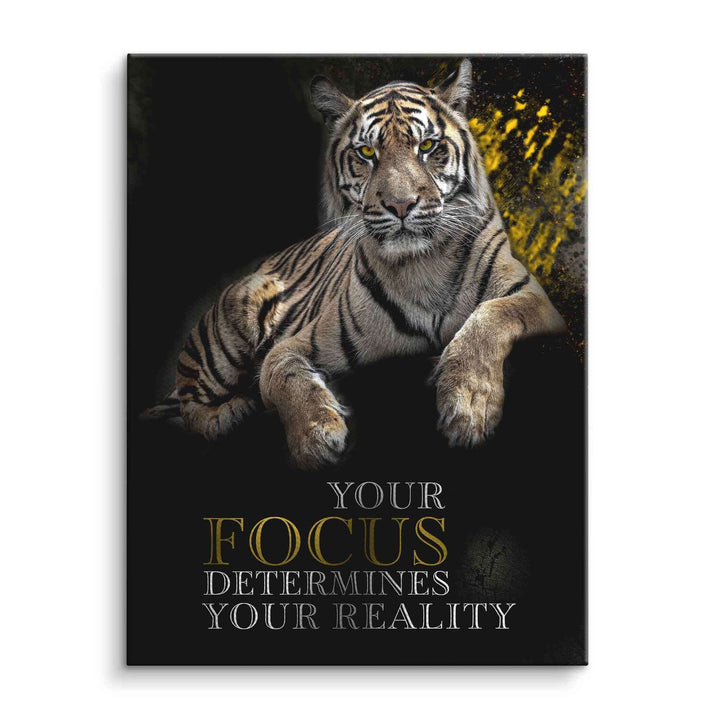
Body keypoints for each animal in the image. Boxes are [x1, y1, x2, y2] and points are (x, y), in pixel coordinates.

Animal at [144, 59, 566, 469]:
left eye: (428, 146)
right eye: (366, 153)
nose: (400, 205)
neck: (422, 266)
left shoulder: (535, 300)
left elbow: (492, 316)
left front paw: (468, 405)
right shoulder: (300, 341)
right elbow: (282, 374)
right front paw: (315, 436)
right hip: (234, 321)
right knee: (191, 406)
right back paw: (230, 414)